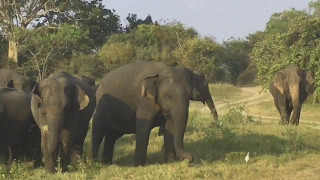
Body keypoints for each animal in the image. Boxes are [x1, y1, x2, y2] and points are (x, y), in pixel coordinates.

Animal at [91, 61, 219, 166]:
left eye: (188, 96)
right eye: (169, 96)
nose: (190, 158)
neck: (162, 72)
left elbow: (170, 126)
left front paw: (170, 162)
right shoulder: (144, 100)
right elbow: (144, 126)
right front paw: (139, 165)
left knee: (111, 136)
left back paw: (107, 163)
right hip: (100, 107)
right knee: (98, 131)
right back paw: (94, 162)